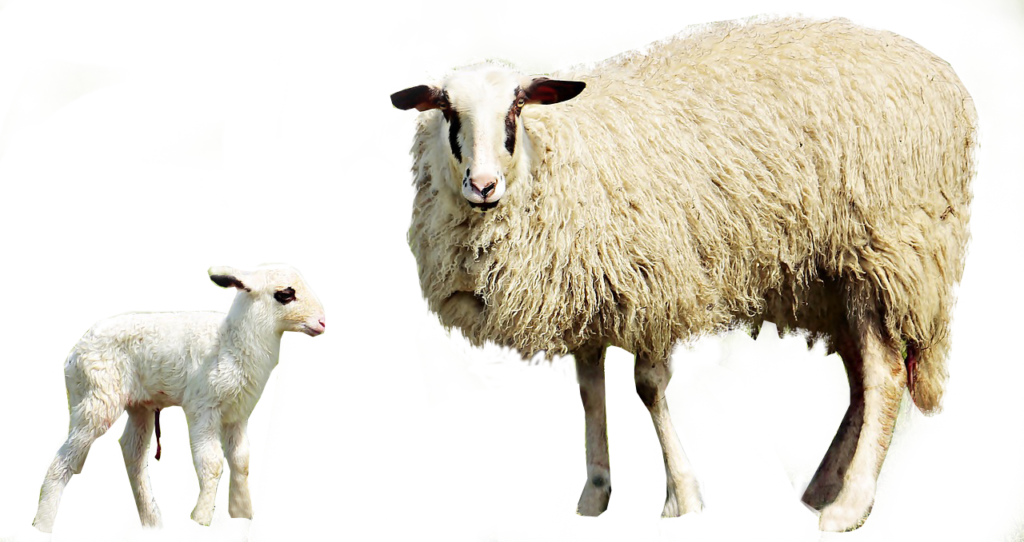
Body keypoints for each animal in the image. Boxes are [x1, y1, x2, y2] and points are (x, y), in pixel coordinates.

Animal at [32, 262, 326, 536]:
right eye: (285, 294)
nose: (323, 321)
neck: (232, 341)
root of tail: (73, 355)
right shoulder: (204, 407)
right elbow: (213, 462)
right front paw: (201, 523)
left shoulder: (237, 412)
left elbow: (241, 461)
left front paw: (245, 520)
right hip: (97, 397)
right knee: (63, 459)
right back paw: (43, 527)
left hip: (137, 404)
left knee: (133, 454)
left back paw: (151, 523)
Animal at [389, 11, 981, 533]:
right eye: (447, 111)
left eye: (516, 108)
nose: (482, 185)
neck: (556, 155)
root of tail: (950, 79)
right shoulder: (587, 288)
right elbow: (591, 391)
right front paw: (595, 496)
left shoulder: (657, 284)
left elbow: (649, 388)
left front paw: (684, 496)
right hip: (830, 276)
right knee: (861, 374)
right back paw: (818, 488)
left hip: (886, 251)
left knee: (883, 375)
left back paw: (848, 504)